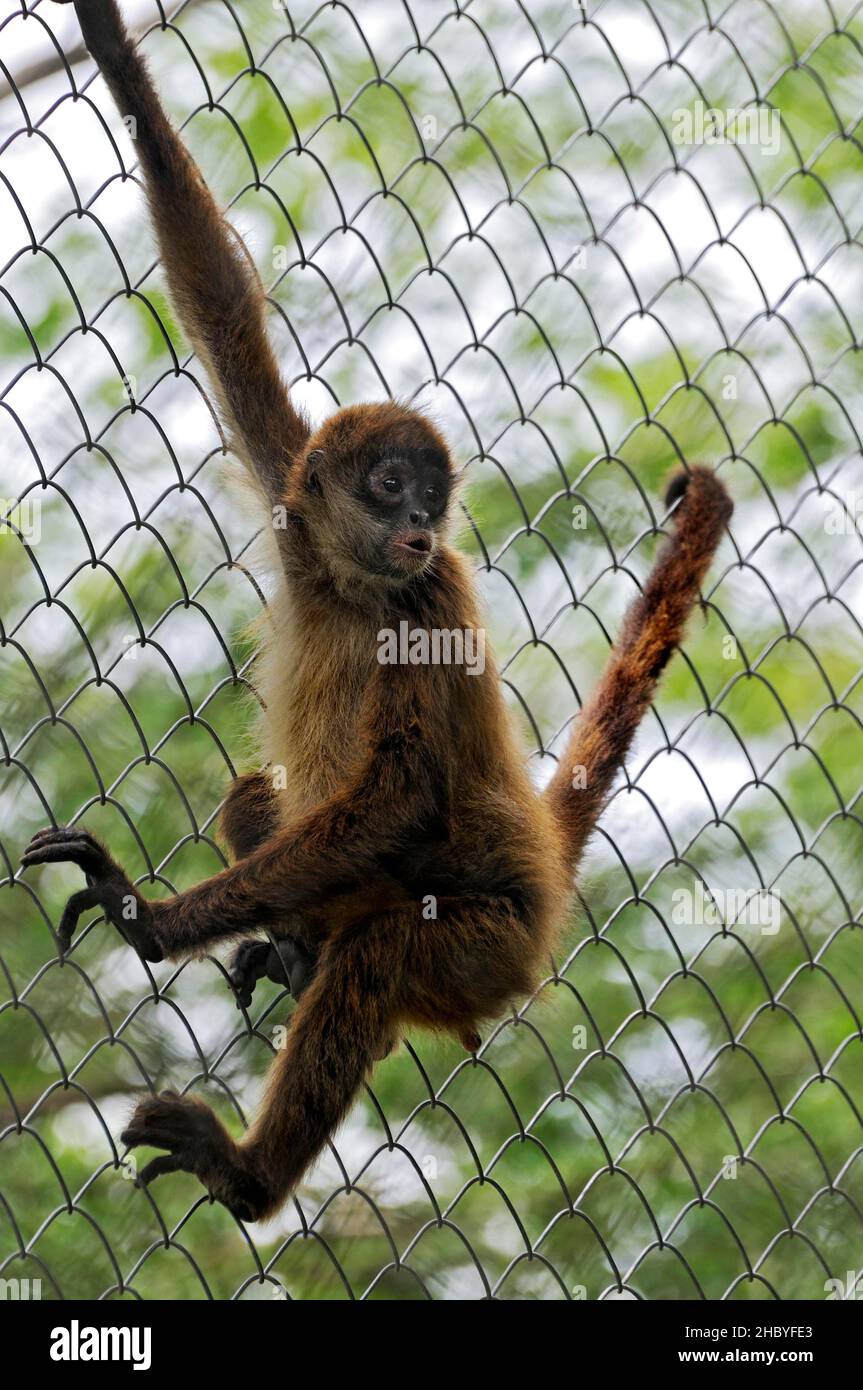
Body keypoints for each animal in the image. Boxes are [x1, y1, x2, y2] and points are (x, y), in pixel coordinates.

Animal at [23, 0, 728, 1223]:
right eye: (389, 483)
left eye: (430, 498)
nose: (417, 522)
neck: (355, 592)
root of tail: (542, 883)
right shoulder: (298, 498)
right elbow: (228, 326)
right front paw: (112, 55)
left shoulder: (430, 593)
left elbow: (397, 792)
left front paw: (145, 919)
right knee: (263, 802)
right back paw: (297, 954)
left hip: (482, 946)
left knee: (381, 952)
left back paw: (250, 1173)